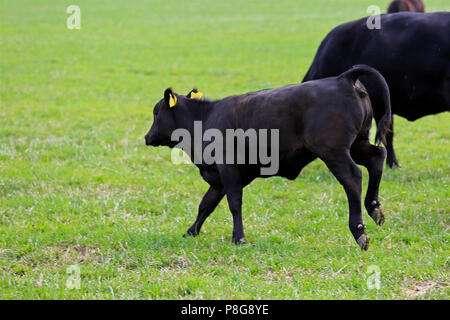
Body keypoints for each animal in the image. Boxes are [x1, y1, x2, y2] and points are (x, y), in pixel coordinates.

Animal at [146, 65, 392, 250]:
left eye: (156, 112)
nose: (147, 137)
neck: (206, 119)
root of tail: (344, 79)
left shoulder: (229, 170)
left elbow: (234, 203)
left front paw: (239, 237)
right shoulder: (218, 178)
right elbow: (206, 205)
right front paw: (191, 231)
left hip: (334, 152)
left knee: (353, 178)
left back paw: (359, 231)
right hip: (357, 145)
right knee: (377, 158)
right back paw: (374, 208)